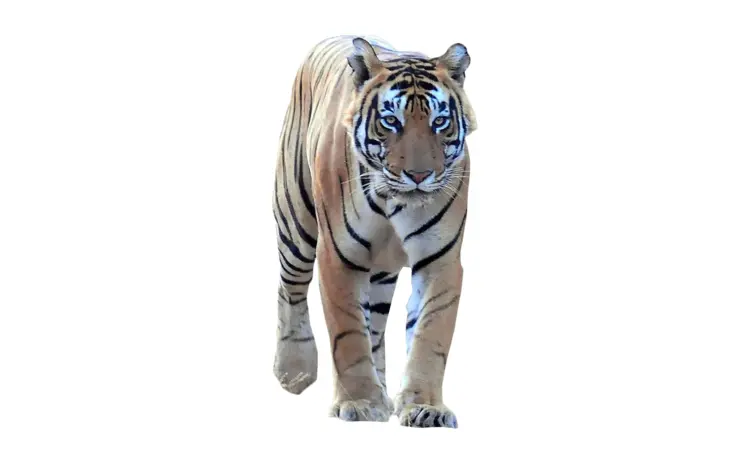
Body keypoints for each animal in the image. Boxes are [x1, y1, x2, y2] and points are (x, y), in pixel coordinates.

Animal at [271, 35, 477, 428]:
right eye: (391, 121)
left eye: (440, 122)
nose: (418, 175)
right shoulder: (338, 256)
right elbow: (349, 333)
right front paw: (361, 403)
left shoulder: (441, 260)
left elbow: (430, 334)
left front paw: (425, 406)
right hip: (295, 221)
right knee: (290, 289)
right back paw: (293, 370)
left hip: (380, 272)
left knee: (377, 328)